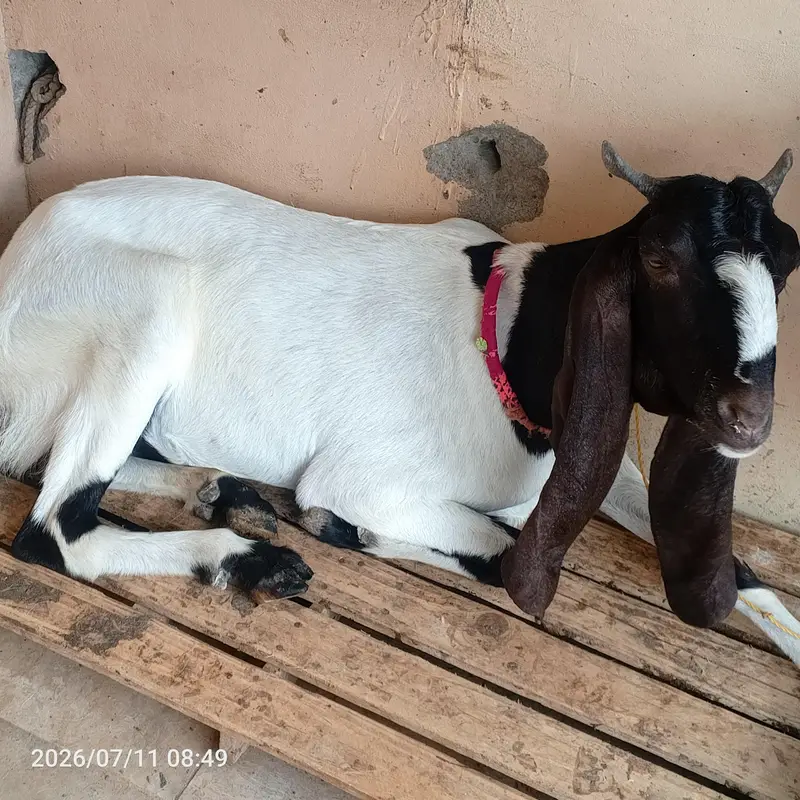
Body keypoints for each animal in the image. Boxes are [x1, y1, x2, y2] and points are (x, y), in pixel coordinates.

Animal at [1, 143, 798, 661]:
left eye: (786, 263)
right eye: (658, 259)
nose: (749, 419)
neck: (509, 339)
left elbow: (745, 574)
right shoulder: (366, 477)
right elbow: (501, 554)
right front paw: (338, 527)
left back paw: (220, 490)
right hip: (151, 309)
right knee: (54, 527)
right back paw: (252, 558)